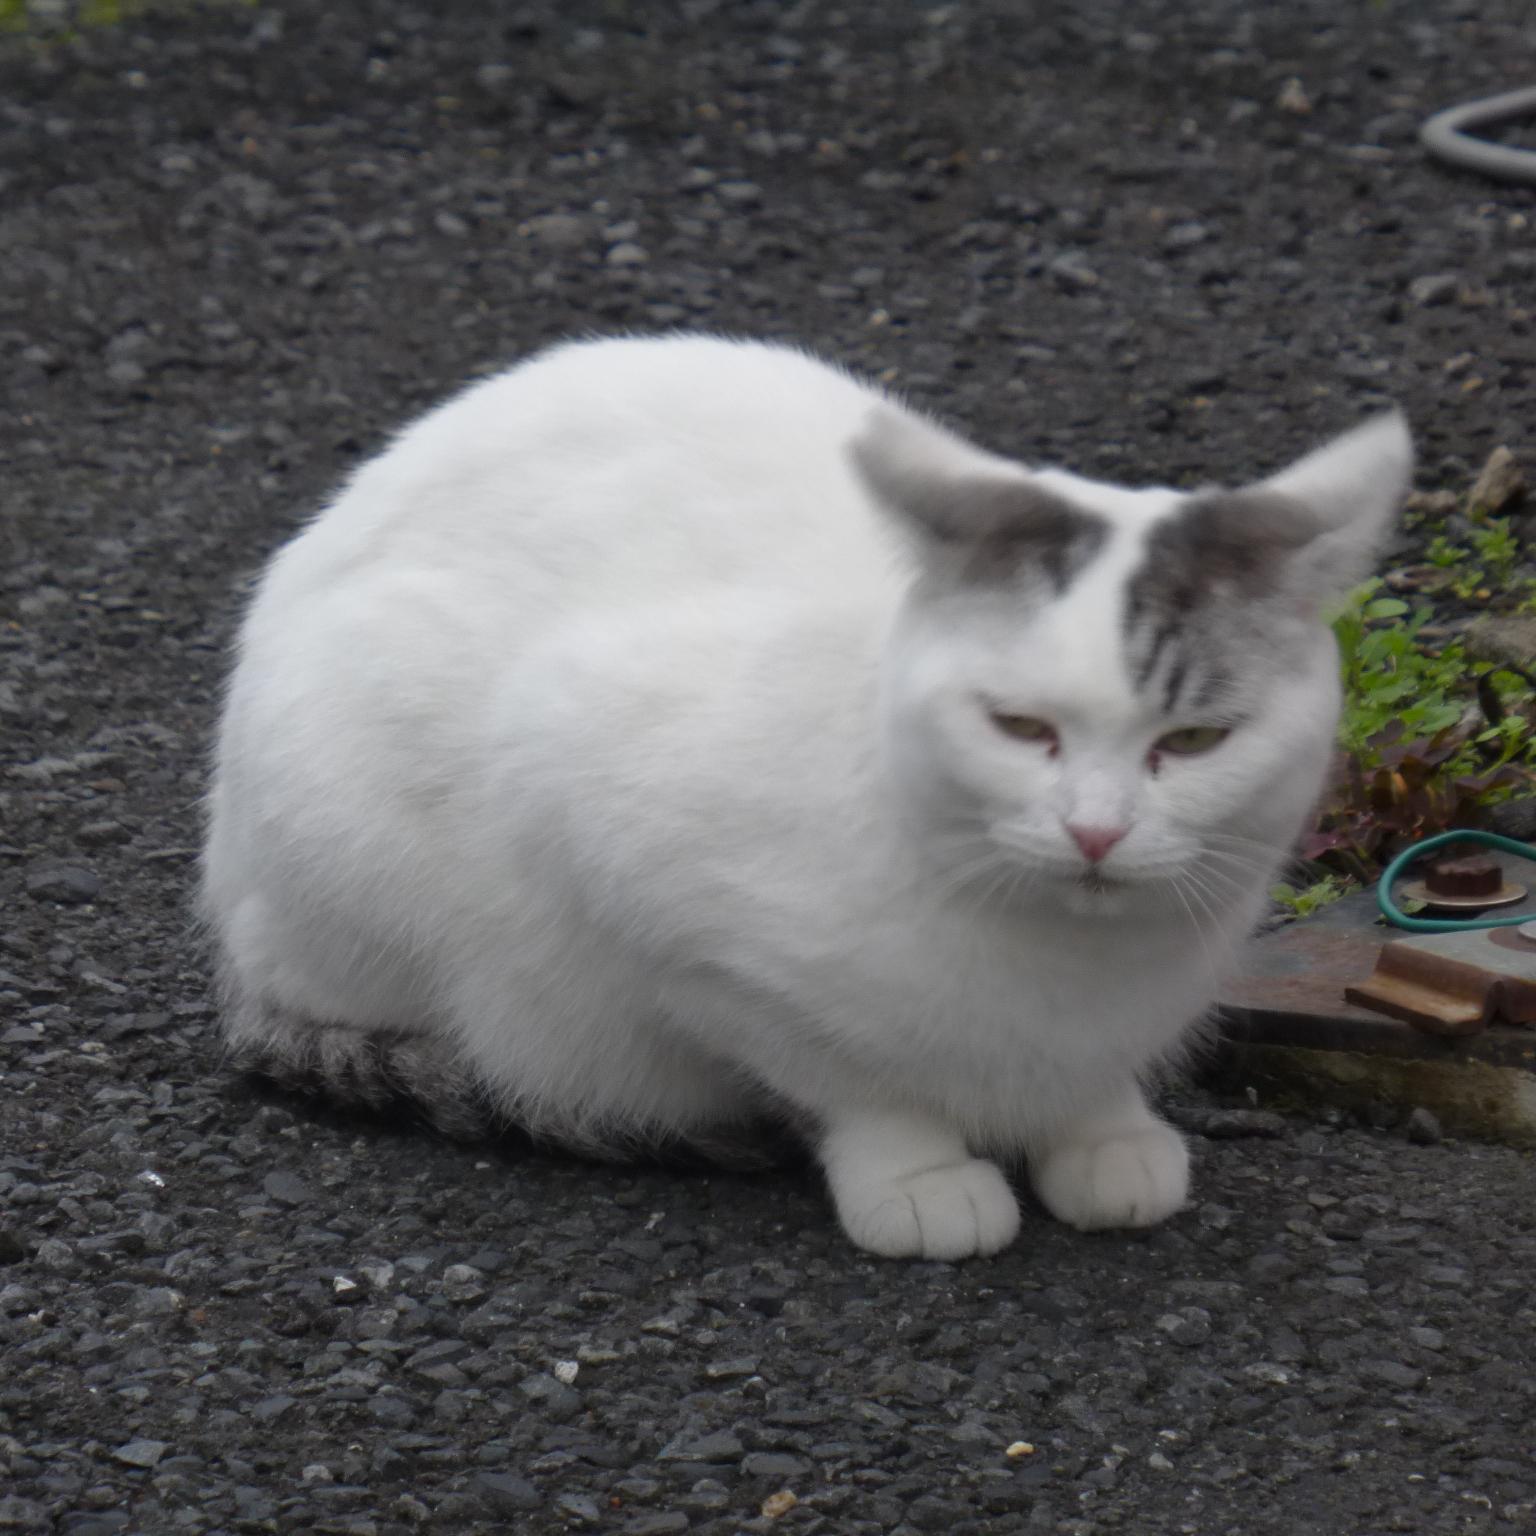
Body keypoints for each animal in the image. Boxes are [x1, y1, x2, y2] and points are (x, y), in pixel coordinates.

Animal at [204, 336, 1413, 1259]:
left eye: (1196, 739)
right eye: (1020, 727)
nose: (1097, 830)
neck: (1066, 963)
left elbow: (1089, 1082)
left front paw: (1102, 1132)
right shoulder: (619, 859)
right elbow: (846, 1075)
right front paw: (918, 1174)